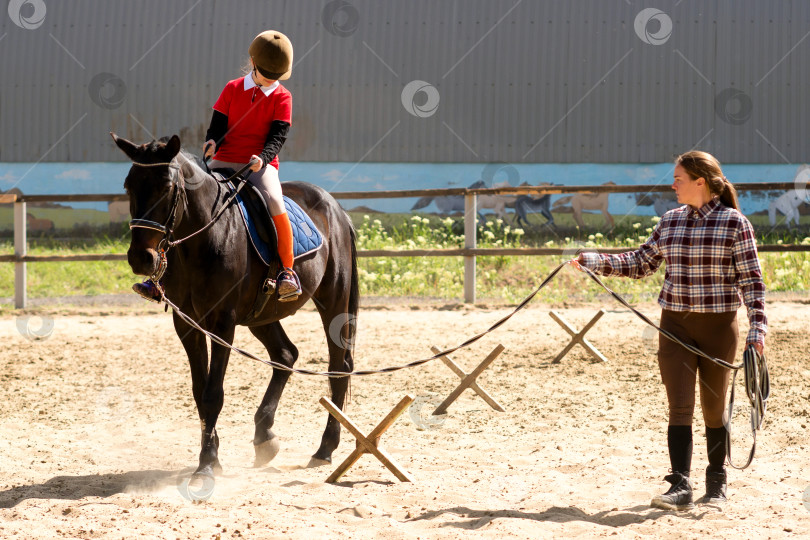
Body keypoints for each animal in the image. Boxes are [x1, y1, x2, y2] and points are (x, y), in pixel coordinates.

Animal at [111, 134, 356, 480]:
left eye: (167, 187)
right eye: (129, 185)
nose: (140, 258)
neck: (199, 240)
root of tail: (335, 208)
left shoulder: (222, 323)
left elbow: (213, 394)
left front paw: (206, 463)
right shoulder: (187, 324)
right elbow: (200, 392)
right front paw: (212, 453)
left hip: (334, 299)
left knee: (339, 366)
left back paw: (324, 449)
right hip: (261, 316)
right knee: (285, 355)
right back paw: (265, 436)